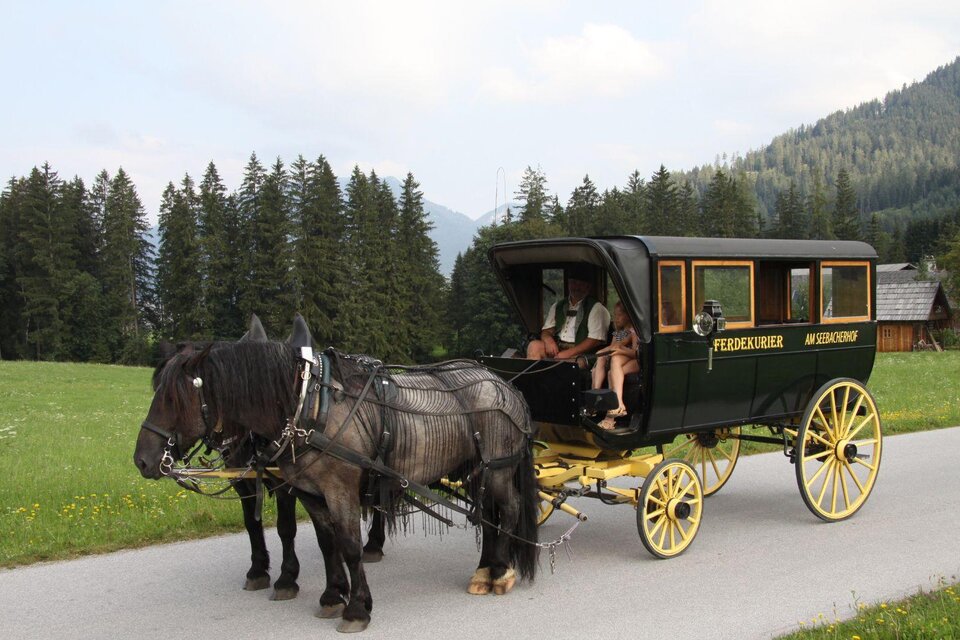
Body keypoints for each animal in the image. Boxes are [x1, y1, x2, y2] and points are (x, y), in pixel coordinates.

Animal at [134, 324, 539, 633]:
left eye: (174, 398)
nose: (142, 460)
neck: (310, 406)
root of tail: (505, 384)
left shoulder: (339, 490)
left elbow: (348, 545)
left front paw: (357, 608)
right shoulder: (309, 492)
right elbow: (326, 542)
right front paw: (331, 595)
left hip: (499, 469)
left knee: (510, 509)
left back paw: (501, 572)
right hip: (475, 472)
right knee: (487, 517)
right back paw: (483, 571)